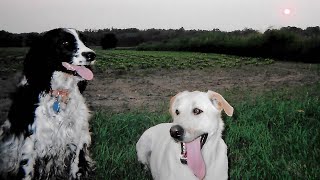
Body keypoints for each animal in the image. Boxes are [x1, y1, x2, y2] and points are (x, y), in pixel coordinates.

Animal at [0, 27, 96, 179]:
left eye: (84, 41)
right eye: (65, 42)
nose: (92, 55)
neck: (59, 94)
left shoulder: (78, 138)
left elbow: (75, 169)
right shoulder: (30, 142)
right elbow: (27, 172)